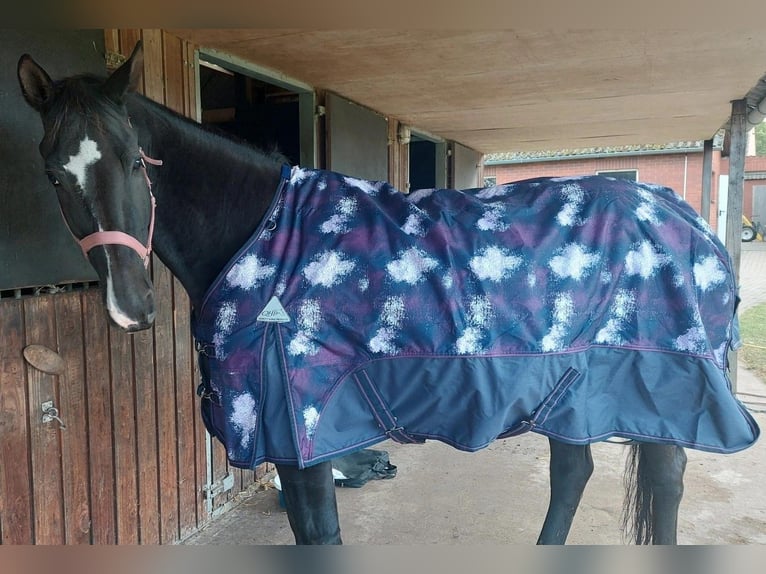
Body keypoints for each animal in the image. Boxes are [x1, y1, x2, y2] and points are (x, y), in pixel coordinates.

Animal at [16, 41, 758, 545]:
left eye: (134, 159)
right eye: (53, 173)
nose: (131, 306)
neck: (262, 231)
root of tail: (684, 215)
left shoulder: (301, 430)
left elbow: (320, 537)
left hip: (654, 395)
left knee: (662, 485)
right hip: (571, 391)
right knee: (573, 473)